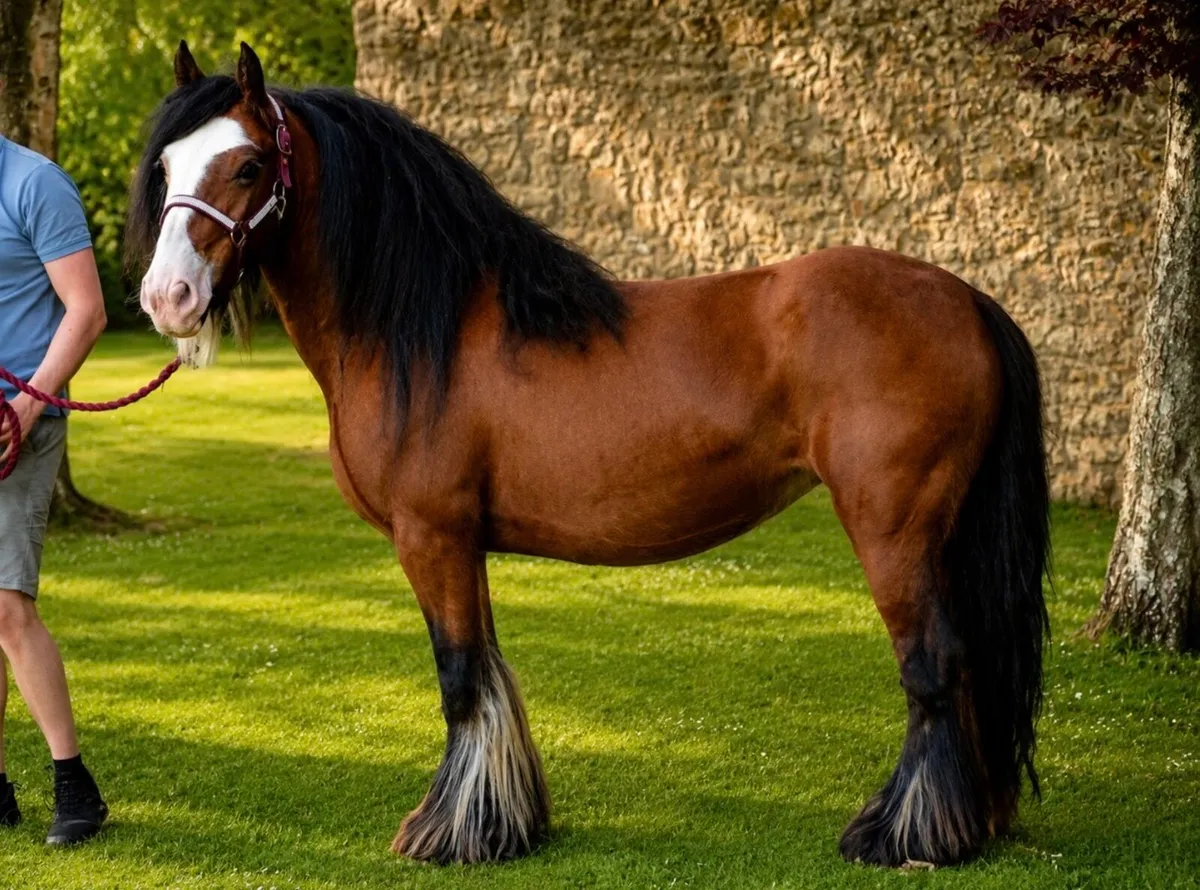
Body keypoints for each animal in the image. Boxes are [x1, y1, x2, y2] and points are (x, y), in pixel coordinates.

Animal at [128, 41, 1050, 868]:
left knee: (934, 668)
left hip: (892, 529)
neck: (421, 328)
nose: (166, 298)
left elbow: (460, 679)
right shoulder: (464, 545)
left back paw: (903, 838)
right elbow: (490, 674)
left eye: (248, 166)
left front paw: (449, 836)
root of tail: (965, 298)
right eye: (168, 165)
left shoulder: (431, 537)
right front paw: (505, 824)